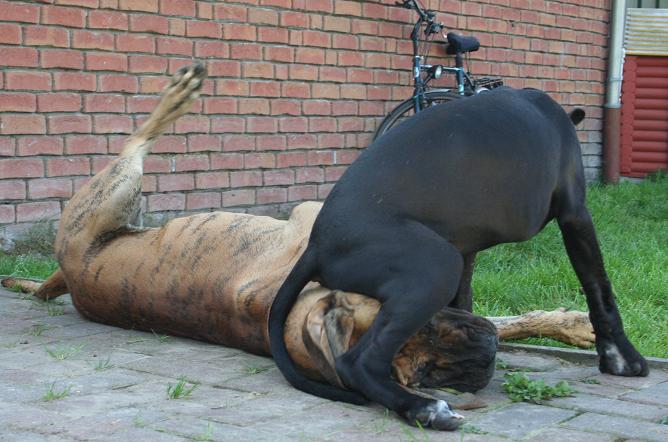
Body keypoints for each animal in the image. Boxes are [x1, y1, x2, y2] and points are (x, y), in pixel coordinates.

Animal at [268, 86, 649, 430]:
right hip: (437, 264)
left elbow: (463, 302)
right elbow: (599, 287)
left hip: (444, 258)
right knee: (358, 362)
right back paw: (424, 409)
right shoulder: (575, 214)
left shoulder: (468, 247)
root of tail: (317, 244)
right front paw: (621, 357)